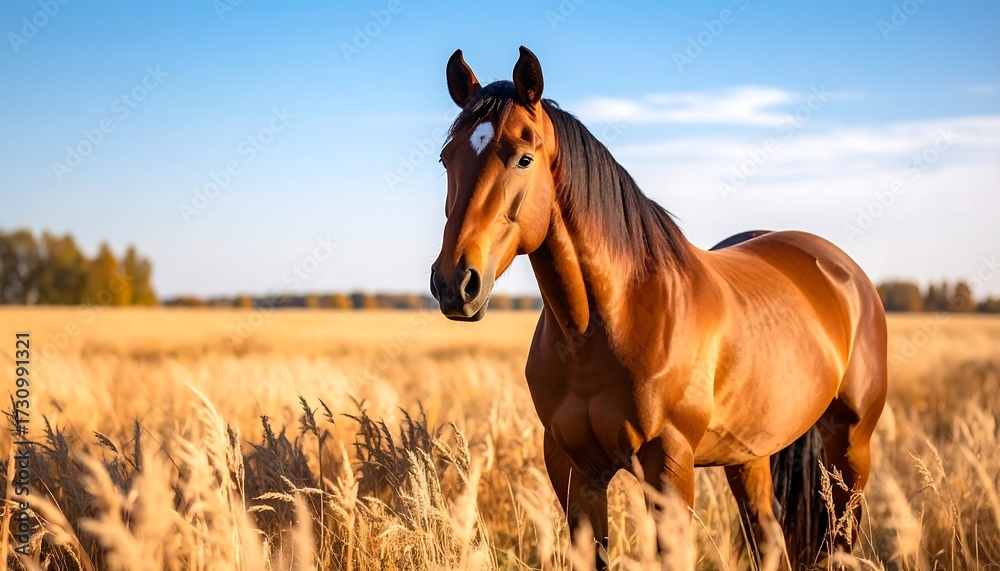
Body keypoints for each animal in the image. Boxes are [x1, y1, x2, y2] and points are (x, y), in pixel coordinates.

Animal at [430, 46, 887, 569]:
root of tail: (843, 273)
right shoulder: (573, 471)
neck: (608, 322)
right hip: (749, 455)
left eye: (523, 158)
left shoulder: (669, 466)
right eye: (446, 158)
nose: (454, 283)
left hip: (850, 450)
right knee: (769, 538)